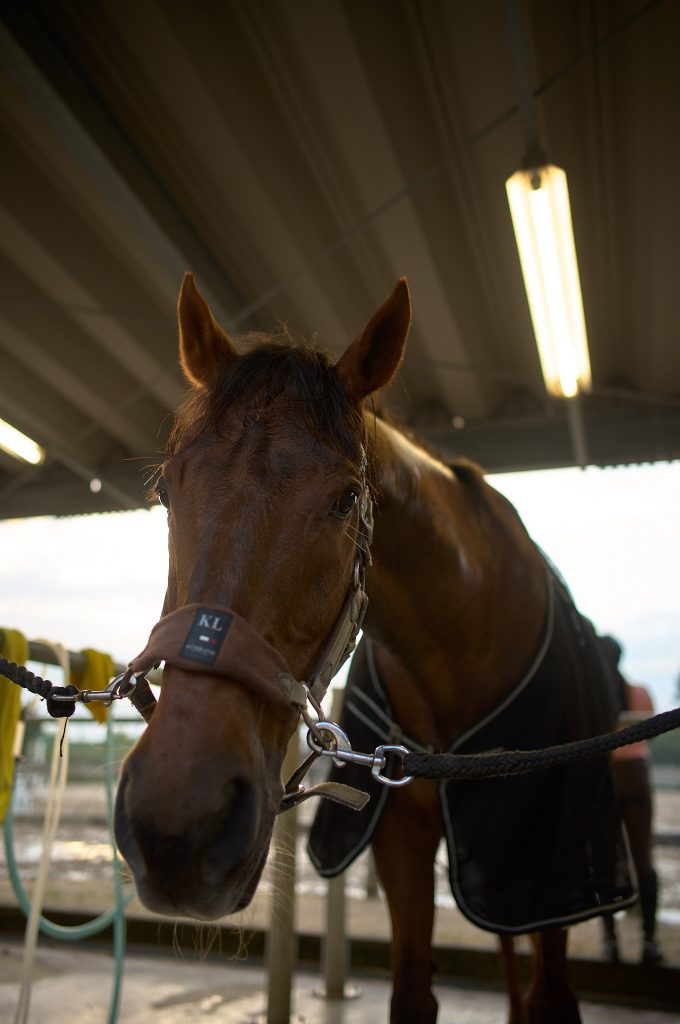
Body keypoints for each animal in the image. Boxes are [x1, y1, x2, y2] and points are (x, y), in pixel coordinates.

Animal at [114, 275, 632, 1024]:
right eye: (164, 488)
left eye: (345, 498)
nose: (181, 822)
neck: (462, 647)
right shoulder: (400, 843)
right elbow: (412, 990)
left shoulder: (545, 878)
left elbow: (551, 997)